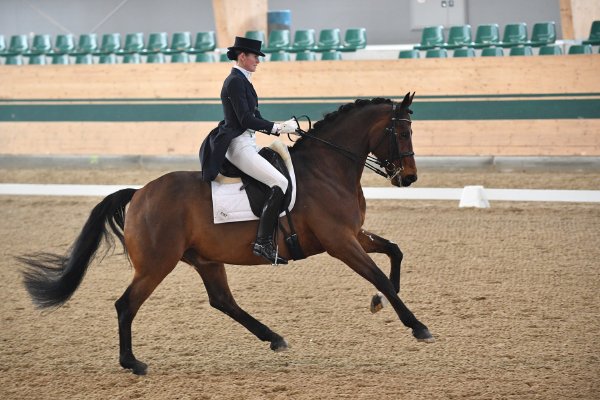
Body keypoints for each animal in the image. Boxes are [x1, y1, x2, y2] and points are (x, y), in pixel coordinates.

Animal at [18, 93, 432, 376]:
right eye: (402, 130)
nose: (408, 178)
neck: (326, 170)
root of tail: (139, 194)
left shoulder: (353, 234)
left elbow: (394, 253)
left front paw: (379, 302)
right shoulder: (339, 242)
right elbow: (379, 273)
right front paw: (418, 326)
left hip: (205, 259)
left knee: (222, 300)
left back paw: (274, 338)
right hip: (156, 264)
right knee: (126, 305)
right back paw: (133, 363)